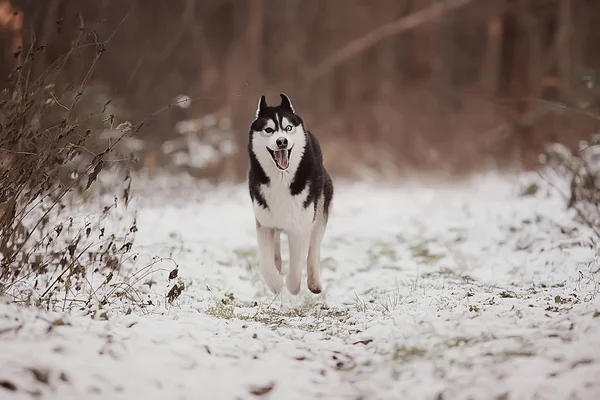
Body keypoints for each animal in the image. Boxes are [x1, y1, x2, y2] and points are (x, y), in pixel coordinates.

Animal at [247, 93, 332, 294]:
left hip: (320, 211)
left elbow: (297, 264)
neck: (281, 180)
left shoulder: (300, 226)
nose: (282, 141)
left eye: (288, 128)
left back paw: (314, 282)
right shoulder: (264, 223)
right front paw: (275, 284)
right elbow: (265, 263)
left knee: (314, 247)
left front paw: (292, 287)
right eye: (269, 130)